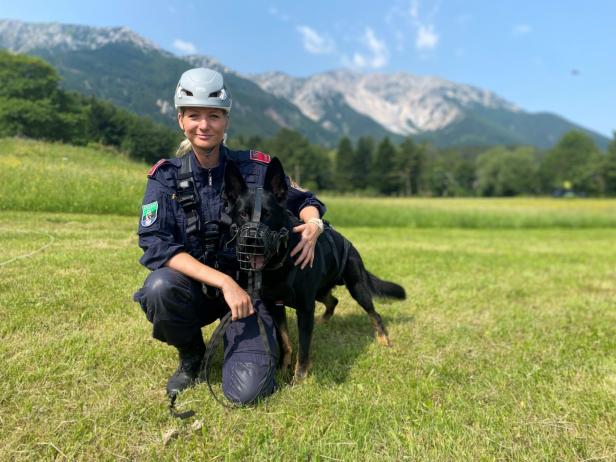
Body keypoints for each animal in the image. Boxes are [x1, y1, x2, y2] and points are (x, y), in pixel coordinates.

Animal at [224, 159, 406, 382]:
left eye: (267, 214)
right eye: (242, 214)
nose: (252, 241)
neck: (283, 259)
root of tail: (349, 244)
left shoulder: (305, 308)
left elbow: (303, 349)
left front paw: (299, 379)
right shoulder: (276, 306)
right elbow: (285, 342)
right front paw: (283, 368)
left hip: (357, 289)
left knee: (375, 314)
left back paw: (383, 340)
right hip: (320, 292)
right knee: (333, 300)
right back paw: (324, 321)